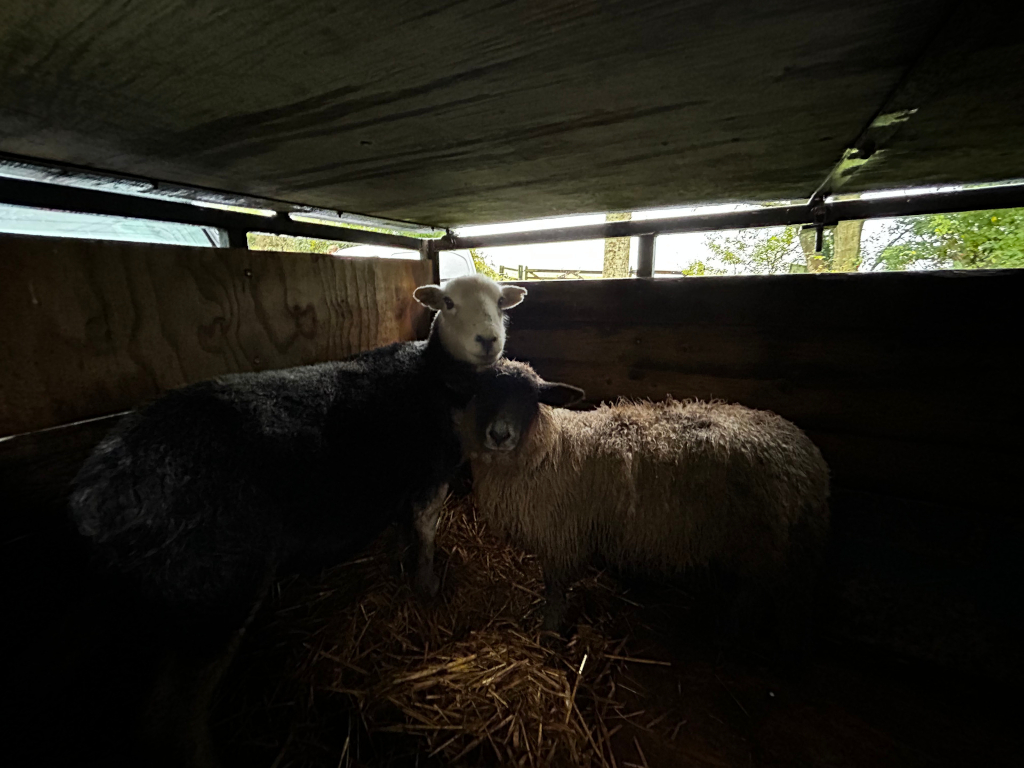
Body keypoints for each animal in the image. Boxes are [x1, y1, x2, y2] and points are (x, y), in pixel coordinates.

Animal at [68, 273, 526, 766]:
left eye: (500, 304)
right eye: (448, 304)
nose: (489, 340)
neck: (434, 376)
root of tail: (95, 489)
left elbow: (403, 528)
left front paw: (399, 567)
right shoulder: (431, 471)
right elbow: (424, 531)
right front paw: (427, 585)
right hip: (213, 587)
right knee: (171, 715)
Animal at [458, 360, 831, 642]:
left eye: (531, 398)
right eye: (482, 391)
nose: (500, 434)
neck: (548, 448)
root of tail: (809, 456)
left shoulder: (561, 538)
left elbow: (555, 590)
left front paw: (548, 633)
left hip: (763, 546)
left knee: (752, 594)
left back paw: (728, 629)